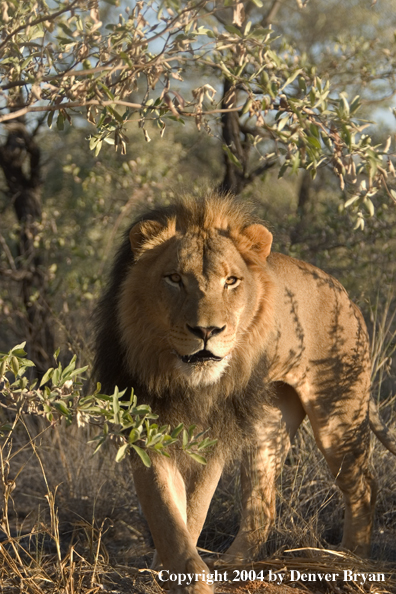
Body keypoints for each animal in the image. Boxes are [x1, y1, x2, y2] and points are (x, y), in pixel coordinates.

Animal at [95, 193, 396, 592]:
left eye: (231, 281)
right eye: (174, 278)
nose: (207, 330)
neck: (186, 382)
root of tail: (342, 291)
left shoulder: (215, 436)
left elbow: (194, 509)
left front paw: (184, 577)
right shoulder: (146, 428)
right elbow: (165, 511)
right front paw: (174, 570)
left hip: (337, 414)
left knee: (363, 485)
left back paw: (350, 559)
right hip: (268, 425)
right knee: (263, 506)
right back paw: (234, 565)